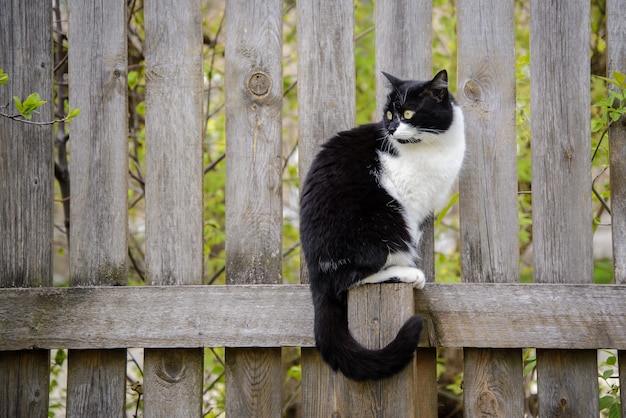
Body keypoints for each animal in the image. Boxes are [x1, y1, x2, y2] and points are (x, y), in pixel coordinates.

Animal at [298, 70, 464, 380]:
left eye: (408, 113)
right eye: (388, 114)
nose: (391, 128)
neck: (434, 146)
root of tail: (316, 273)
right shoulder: (410, 202)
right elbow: (412, 234)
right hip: (379, 224)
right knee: (349, 281)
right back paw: (405, 273)